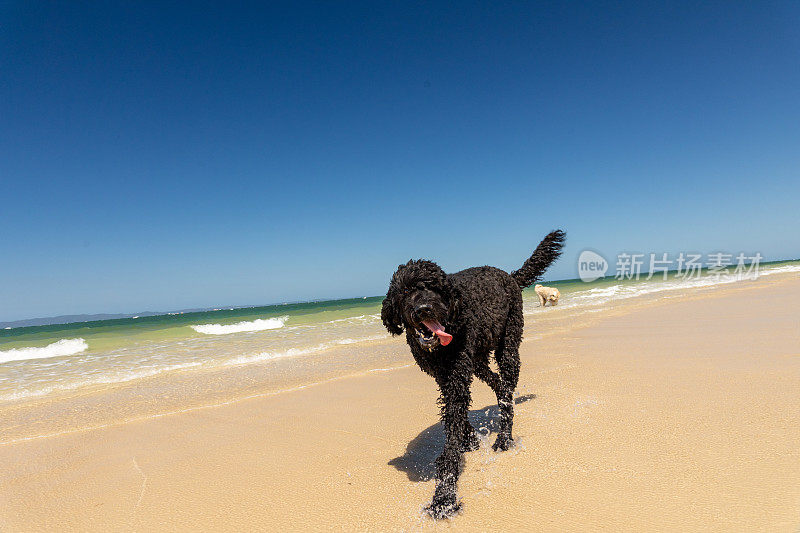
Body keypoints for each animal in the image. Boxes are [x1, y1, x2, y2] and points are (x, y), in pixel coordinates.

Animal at [380, 228, 564, 516]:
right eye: (406, 290)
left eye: (434, 288)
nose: (423, 309)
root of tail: (510, 275)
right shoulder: (445, 377)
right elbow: (455, 415)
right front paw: (469, 440)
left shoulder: (456, 377)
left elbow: (452, 433)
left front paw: (444, 496)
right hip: (477, 359)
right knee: (499, 384)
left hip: (508, 346)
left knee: (507, 387)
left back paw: (504, 437)